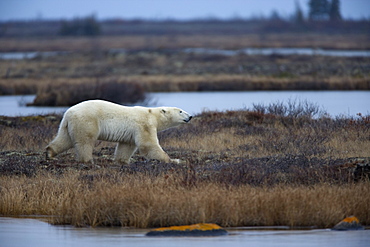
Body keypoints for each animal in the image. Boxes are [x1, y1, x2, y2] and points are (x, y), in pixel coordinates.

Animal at [45, 98, 194, 164]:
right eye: (181, 111)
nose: (190, 116)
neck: (153, 115)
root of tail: (68, 112)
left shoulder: (132, 132)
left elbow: (127, 145)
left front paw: (122, 161)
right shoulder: (144, 124)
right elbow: (148, 144)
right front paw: (174, 160)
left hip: (69, 125)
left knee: (64, 139)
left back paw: (49, 152)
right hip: (87, 121)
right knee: (85, 141)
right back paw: (87, 160)